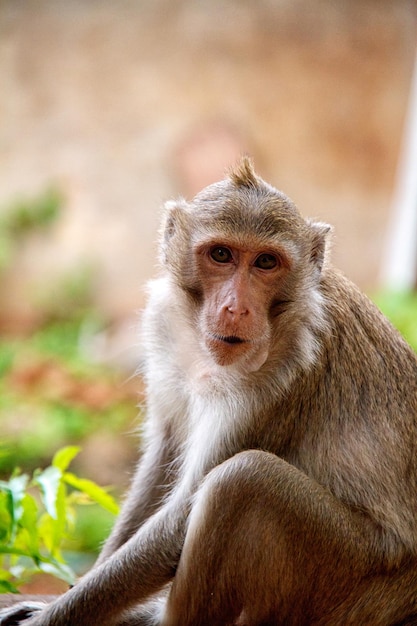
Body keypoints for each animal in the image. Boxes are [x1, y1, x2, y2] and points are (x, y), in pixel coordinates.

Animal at [2, 156, 416, 624]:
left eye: (266, 262)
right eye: (221, 254)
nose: (236, 308)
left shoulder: (289, 370)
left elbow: (180, 520)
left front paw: (54, 616)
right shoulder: (163, 321)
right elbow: (164, 455)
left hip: (350, 578)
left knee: (244, 479)